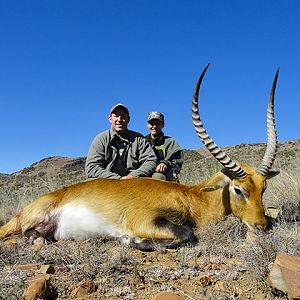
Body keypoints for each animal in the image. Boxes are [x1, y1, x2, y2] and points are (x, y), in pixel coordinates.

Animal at [0, 66, 278, 251]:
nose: (262, 226)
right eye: (239, 189)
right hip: (25, 220)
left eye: (263, 188)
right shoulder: (143, 220)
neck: (191, 198)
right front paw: (130, 240)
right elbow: (187, 234)